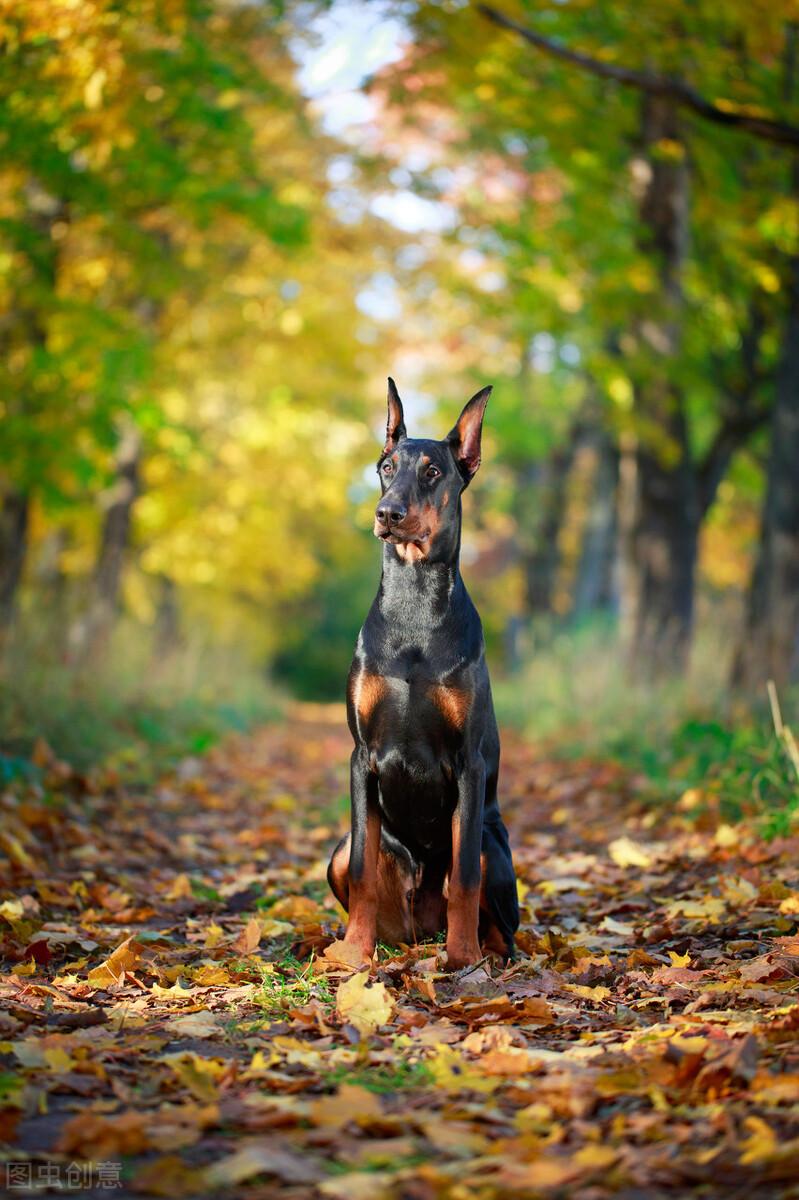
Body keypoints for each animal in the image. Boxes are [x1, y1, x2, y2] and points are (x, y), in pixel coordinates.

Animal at [326, 379, 515, 969]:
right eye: (386, 466)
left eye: (433, 471)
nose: (388, 512)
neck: (413, 607)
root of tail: (417, 934)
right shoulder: (361, 755)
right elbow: (362, 871)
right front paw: (354, 955)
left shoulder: (469, 763)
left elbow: (466, 878)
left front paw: (462, 958)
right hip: (342, 854)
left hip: (493, 841)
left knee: (497, 916)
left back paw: (483, 953)